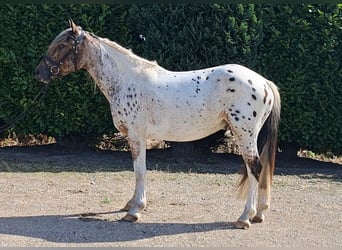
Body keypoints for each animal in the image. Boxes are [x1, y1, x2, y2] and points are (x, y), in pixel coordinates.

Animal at [34, 20, 280, 229]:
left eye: (63, 45)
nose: (39, 73)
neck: (125, 80)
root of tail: (263, 82)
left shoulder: (136, 135)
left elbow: (139, 170)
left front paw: (134, 211)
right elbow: (138, 170)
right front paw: (130, 204)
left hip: (244, 135)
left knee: (254, 169)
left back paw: (244, 218)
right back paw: (259, 213)